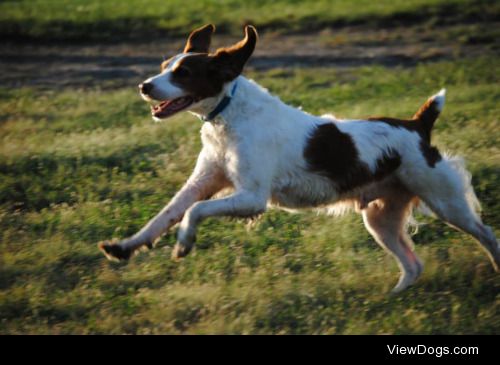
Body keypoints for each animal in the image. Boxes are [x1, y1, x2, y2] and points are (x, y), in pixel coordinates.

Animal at [99, 24, 498, 292]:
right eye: (164, 65)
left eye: (183, 73)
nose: (144, 86)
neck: (229, 114)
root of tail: (417, 125)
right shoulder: (204, 182)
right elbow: (166, 214)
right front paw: (124, 247)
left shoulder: (251, 197)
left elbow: (193, 213)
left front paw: (184, 242)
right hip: (380, 218)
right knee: (414, 266)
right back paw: (395, 296)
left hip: (445, 202)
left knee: (486, 233)